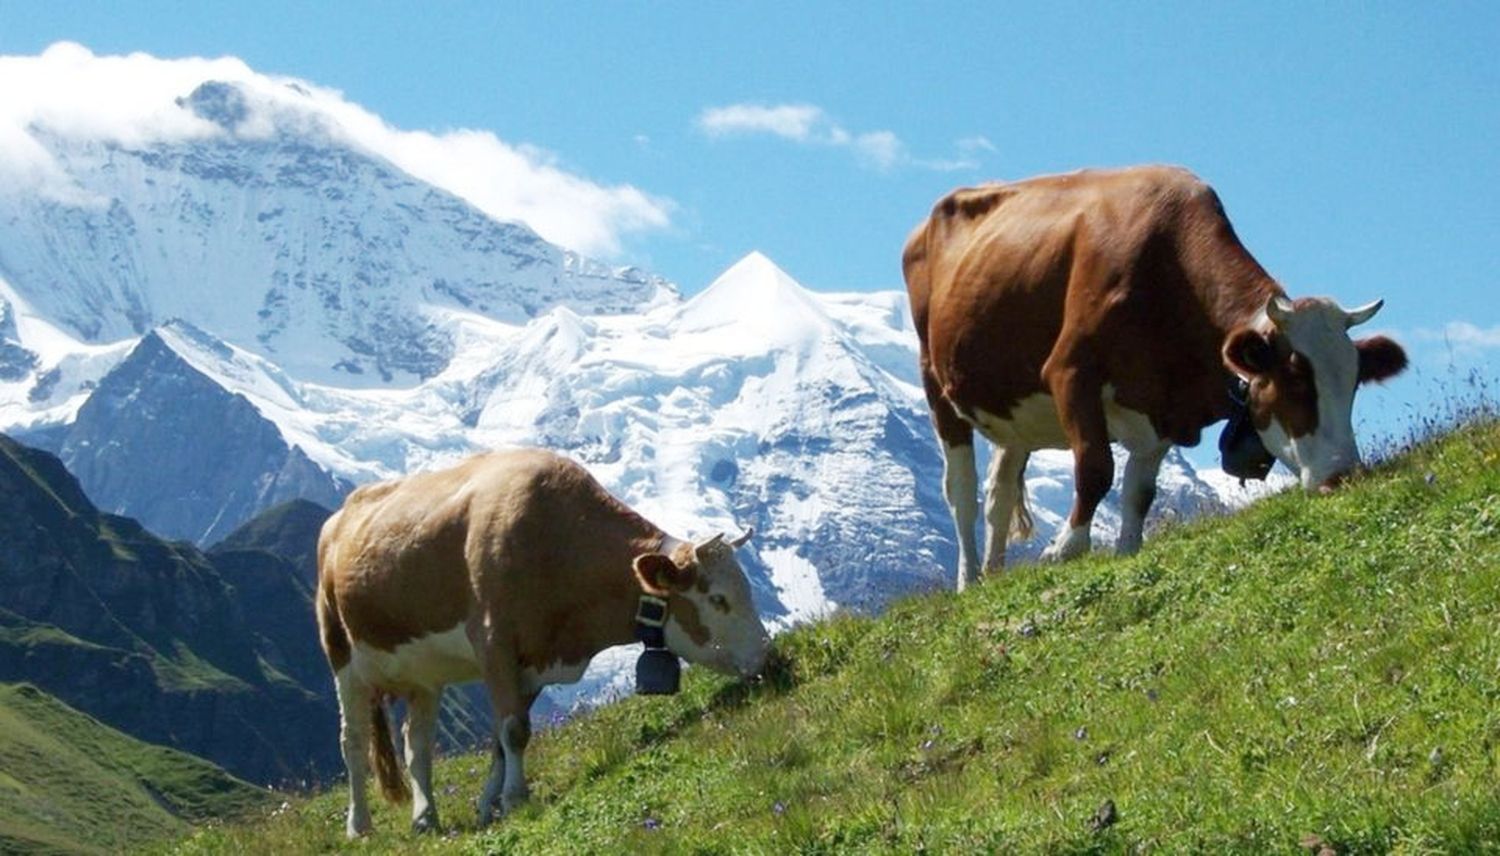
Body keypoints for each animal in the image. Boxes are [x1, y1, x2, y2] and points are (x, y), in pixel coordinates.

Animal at [312, 449, 768, 839]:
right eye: (718, 599)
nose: (768, 655)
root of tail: (338, 520)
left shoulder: (533, 661)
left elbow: (501, 739)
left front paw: (489, 805)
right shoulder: (494, 642)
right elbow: (514, 730)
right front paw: (516, 798)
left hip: (423, 675)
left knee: (416, 743)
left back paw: (425, 818)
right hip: (341, 655)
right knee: (352, 741)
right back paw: (359, 825)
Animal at [900, 165, 1404, 590]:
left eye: (1353, 383)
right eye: (1296, 381)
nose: (1341, 476)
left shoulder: (1163, 406)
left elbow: (1139, 491)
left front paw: (1127, 549)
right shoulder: (1071, 372)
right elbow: (1096, 468)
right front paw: (1066, 548)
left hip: (1014, 412)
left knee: (999, 491)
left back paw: (994, 574)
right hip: (937, 384)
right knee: (960, 489)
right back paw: (970, 580)